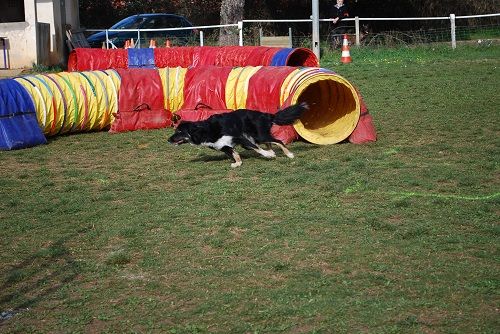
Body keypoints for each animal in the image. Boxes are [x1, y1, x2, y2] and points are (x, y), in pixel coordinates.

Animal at [169, 102, 308, 167]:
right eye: (175, 131)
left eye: (179, 132)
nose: (168, 140)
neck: (205, 130)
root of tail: (267, 115)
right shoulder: (224, 146)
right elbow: (235, 155)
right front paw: (237, 163)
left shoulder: (239, 138)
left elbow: (257, 149)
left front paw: (267, 155)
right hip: (256, 136)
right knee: (268, 143)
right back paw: (272, 152)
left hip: (258, 135)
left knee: (278, 141)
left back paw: (288, 154)